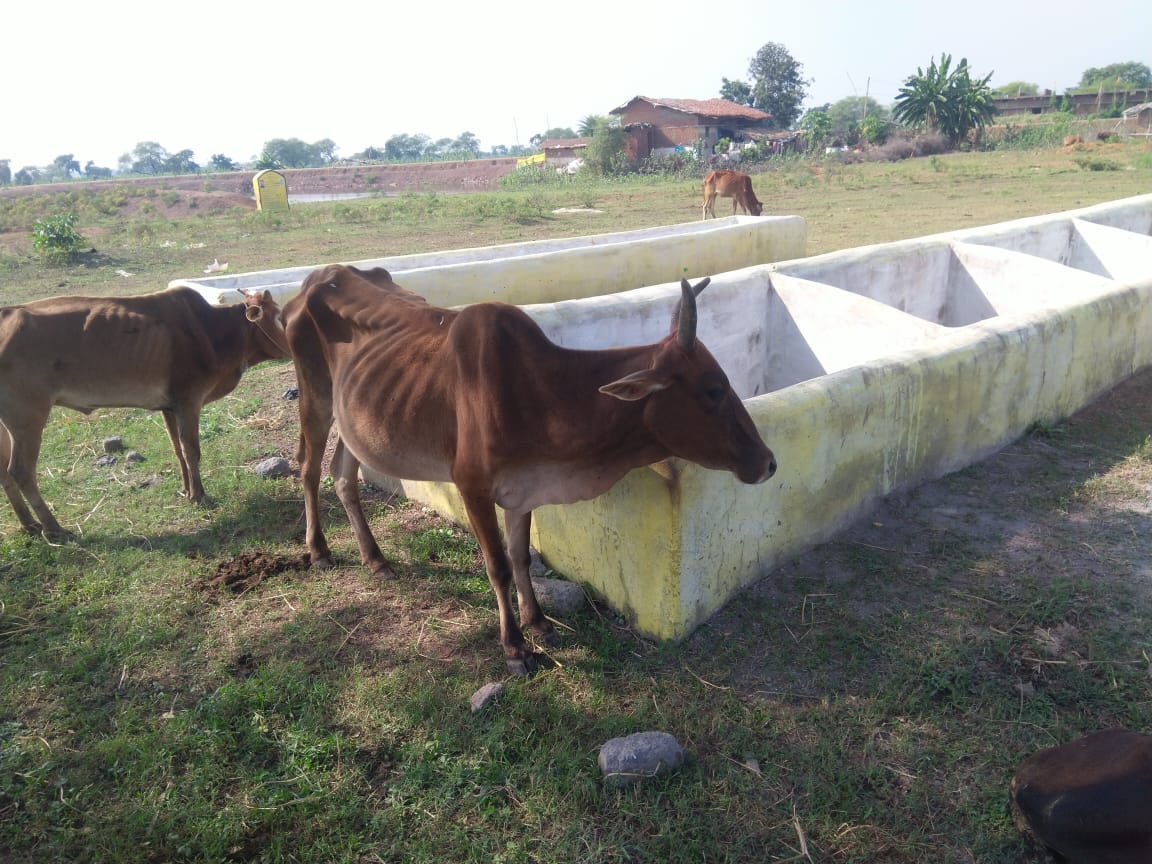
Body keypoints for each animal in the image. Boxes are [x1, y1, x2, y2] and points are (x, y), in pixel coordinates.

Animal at [0, 288, 288, 539]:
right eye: (278, 316)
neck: (212, 331)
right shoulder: (189, 401)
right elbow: (192, 451)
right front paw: (200, 495)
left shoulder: (169, 407)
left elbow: (178, 450)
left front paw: (186, 491)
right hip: (27, 418)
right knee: (21, 471)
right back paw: (53, 528)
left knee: (5, 471)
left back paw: (29, 524)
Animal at [283, 263, 778, 677]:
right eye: (713, 390)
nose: (768, 462)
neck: (542, 392)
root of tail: (317, 277)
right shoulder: (472, 486)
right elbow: (498, 565)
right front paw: (515, 647)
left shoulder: (523, 491)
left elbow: (521, 556)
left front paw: (537, 621)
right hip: (316, 396)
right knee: (308, 468)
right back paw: (319, 549)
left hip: (354, 417)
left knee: (342, 475)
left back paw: (376, 559)